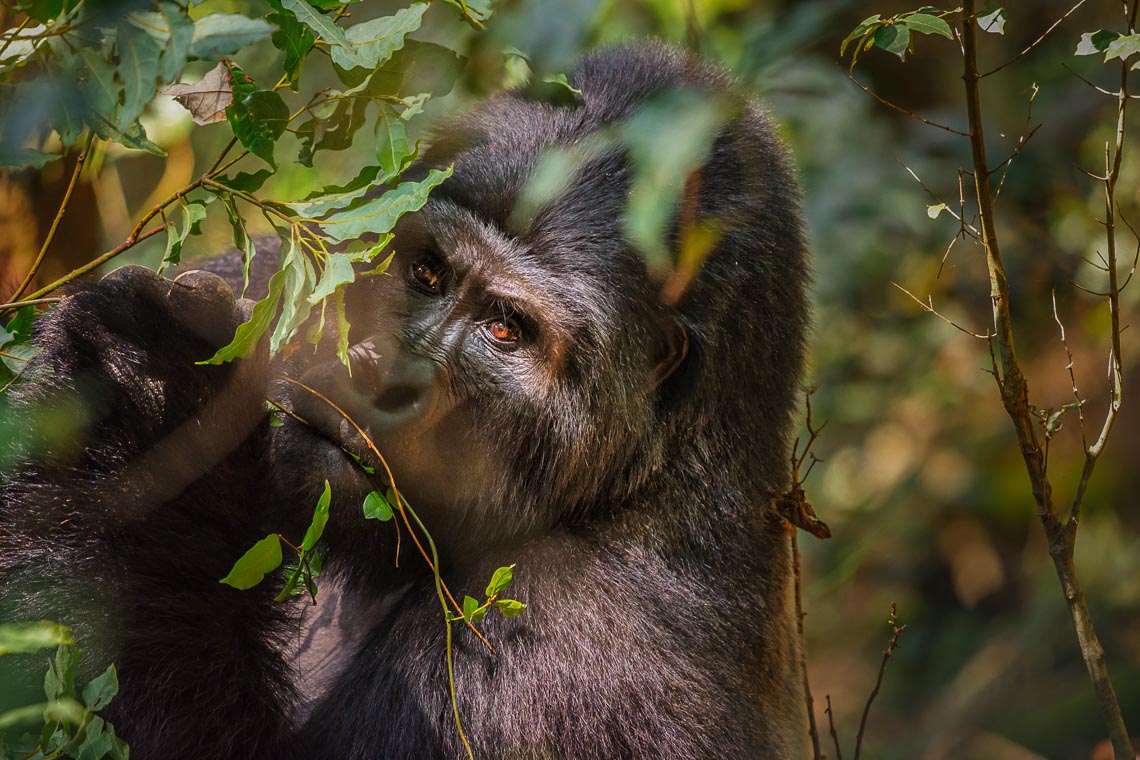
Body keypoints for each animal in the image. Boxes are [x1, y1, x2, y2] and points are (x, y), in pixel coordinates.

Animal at [4, 43, 816, 760]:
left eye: (505, 329)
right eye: (427, 272)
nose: (380, 374)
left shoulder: (562, 641)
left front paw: (149, 415)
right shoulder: (269, 280)